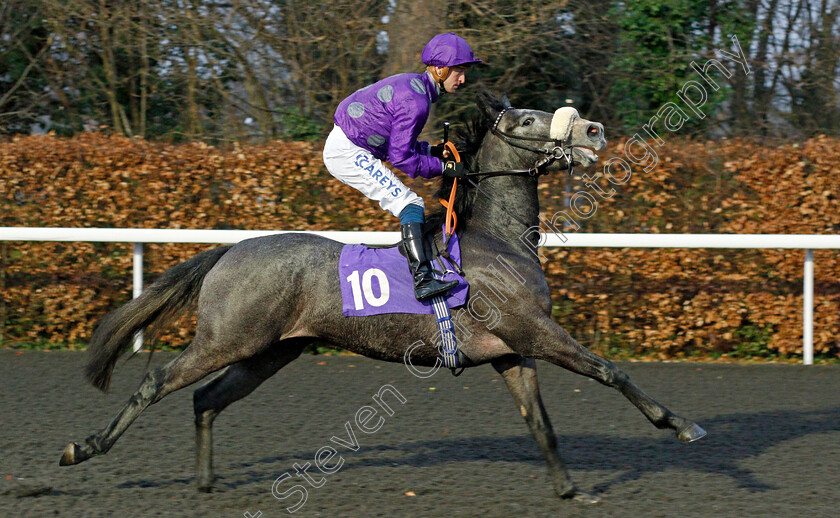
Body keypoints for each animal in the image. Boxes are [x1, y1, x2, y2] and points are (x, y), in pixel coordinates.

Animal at [59, 92, 704, 504]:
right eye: (525, 119)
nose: (593, 130)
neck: (496, 240)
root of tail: (229, 251)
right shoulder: (534, 332)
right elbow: (609, 371)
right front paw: (680, 425)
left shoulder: (512, 351)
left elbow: (540, 423)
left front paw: (569, 488)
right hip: (227, 338)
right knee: (155, 383)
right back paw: (83, 448)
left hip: (269, 351)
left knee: (206, 400)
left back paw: (204, 481)